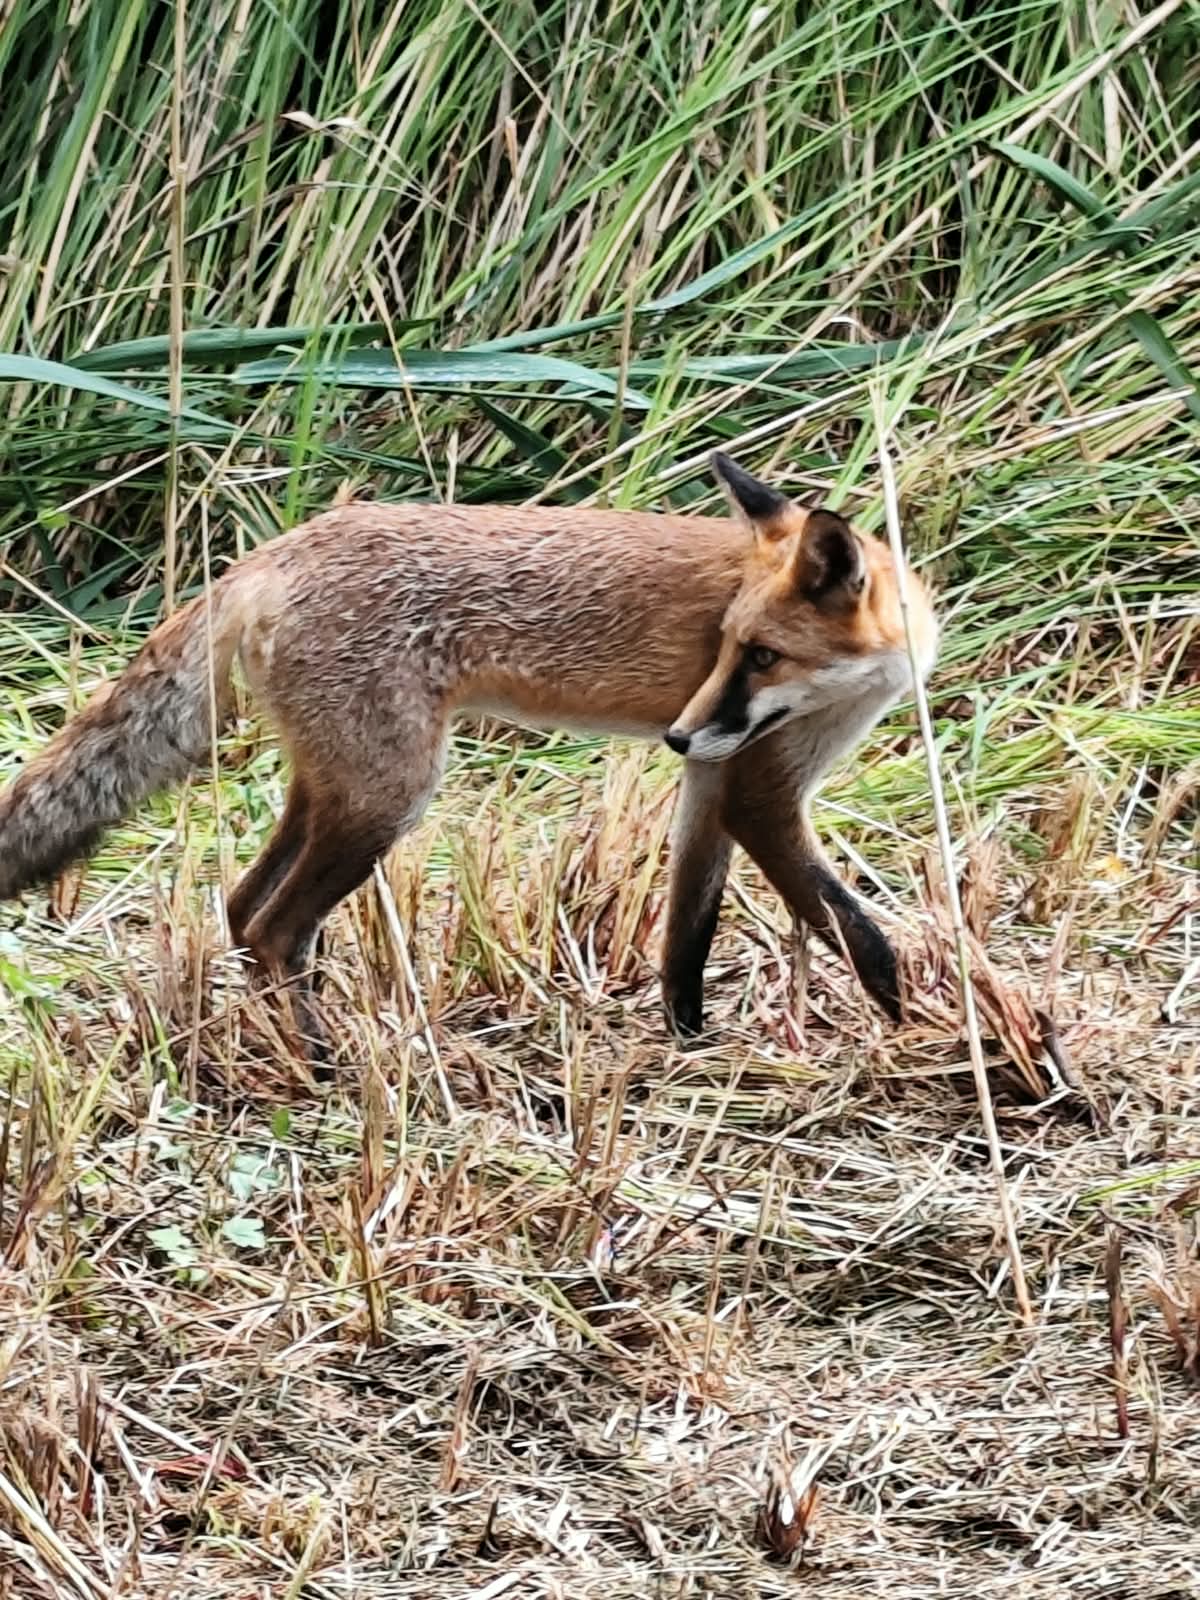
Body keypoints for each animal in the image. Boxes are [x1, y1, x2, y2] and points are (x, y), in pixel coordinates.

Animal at [0, 454, 937, 1054]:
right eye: (732, 648)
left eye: (762, 655)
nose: (675, 732)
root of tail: (272, 552)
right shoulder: (758, 789)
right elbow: (861, 935)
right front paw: (922, 1035)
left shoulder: (713, 778)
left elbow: (686, 938)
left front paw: (688, 1044)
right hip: (390, 797)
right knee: (274, 926)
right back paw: (324, 1066)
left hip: (334, 787)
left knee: (240, 908)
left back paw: (288, 1043)